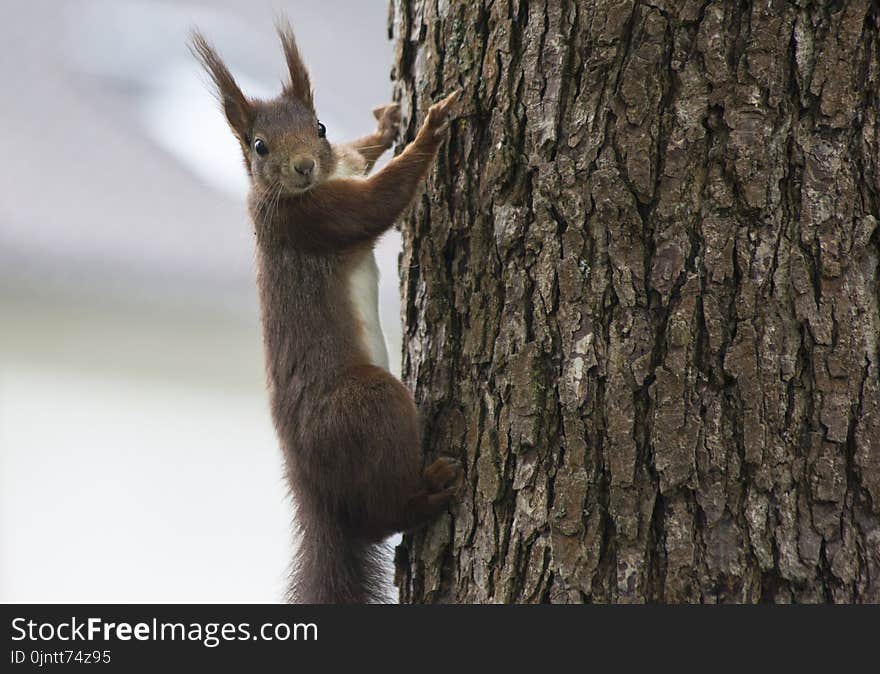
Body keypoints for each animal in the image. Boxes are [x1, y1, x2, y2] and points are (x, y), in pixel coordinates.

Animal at [189, 21, 464, 600]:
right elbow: (381, 201)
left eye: (319, 127)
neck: (308, 187)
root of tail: (308, 485)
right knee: (379, 518)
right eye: (259, 145)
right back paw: (427, 492)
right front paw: (431, 126)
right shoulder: (317, 219)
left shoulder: (341, 170)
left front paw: (388, 123)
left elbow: (361, 155)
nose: (304, 166)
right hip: (366, 406)